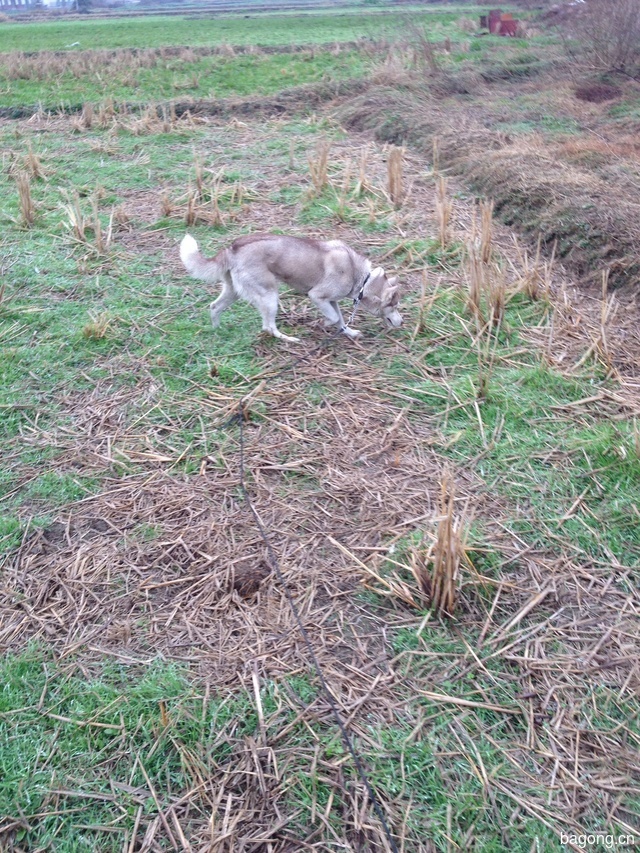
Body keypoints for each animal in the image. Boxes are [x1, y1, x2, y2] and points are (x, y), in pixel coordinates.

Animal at [179, 233, 400, 342]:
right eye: (394, 305)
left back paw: (218, 330)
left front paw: (350, 333)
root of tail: (232, 248)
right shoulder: (317, 296)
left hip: (234, 292)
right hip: (269, 296)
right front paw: (323, 325)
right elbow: (334, 318)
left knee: (214, 307)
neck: (362, 278)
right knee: (268, 327)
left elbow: (341, 321)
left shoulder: (331, 301)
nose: (402, 321)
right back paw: (290, 339)